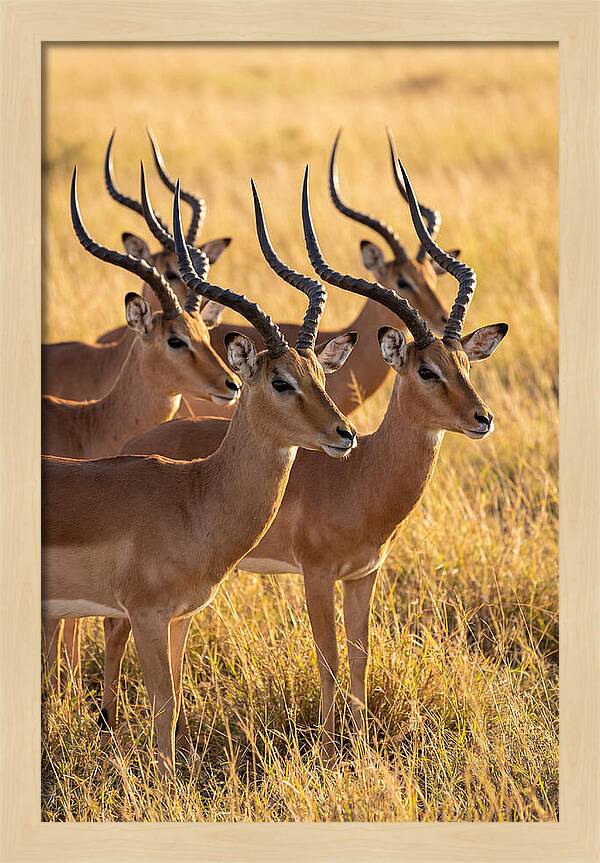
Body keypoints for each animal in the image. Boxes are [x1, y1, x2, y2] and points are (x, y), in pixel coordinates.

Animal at [42, 178, 358, 777]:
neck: (195, 499)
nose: (344, 433)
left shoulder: (180, 616)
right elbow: (163, 703)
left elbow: (177, 695)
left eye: (320, 374)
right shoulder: (145, 614)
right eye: (280, 381)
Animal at [112, 161, 508, 758]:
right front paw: (326, 745)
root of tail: (133, 445)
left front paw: (361, 741)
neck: (362, 476)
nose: (481, 419)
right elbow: (328, 659)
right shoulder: (317, 575)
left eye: (464, 363)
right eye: (426, 370)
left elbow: (361, 657)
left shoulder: (365, 575)